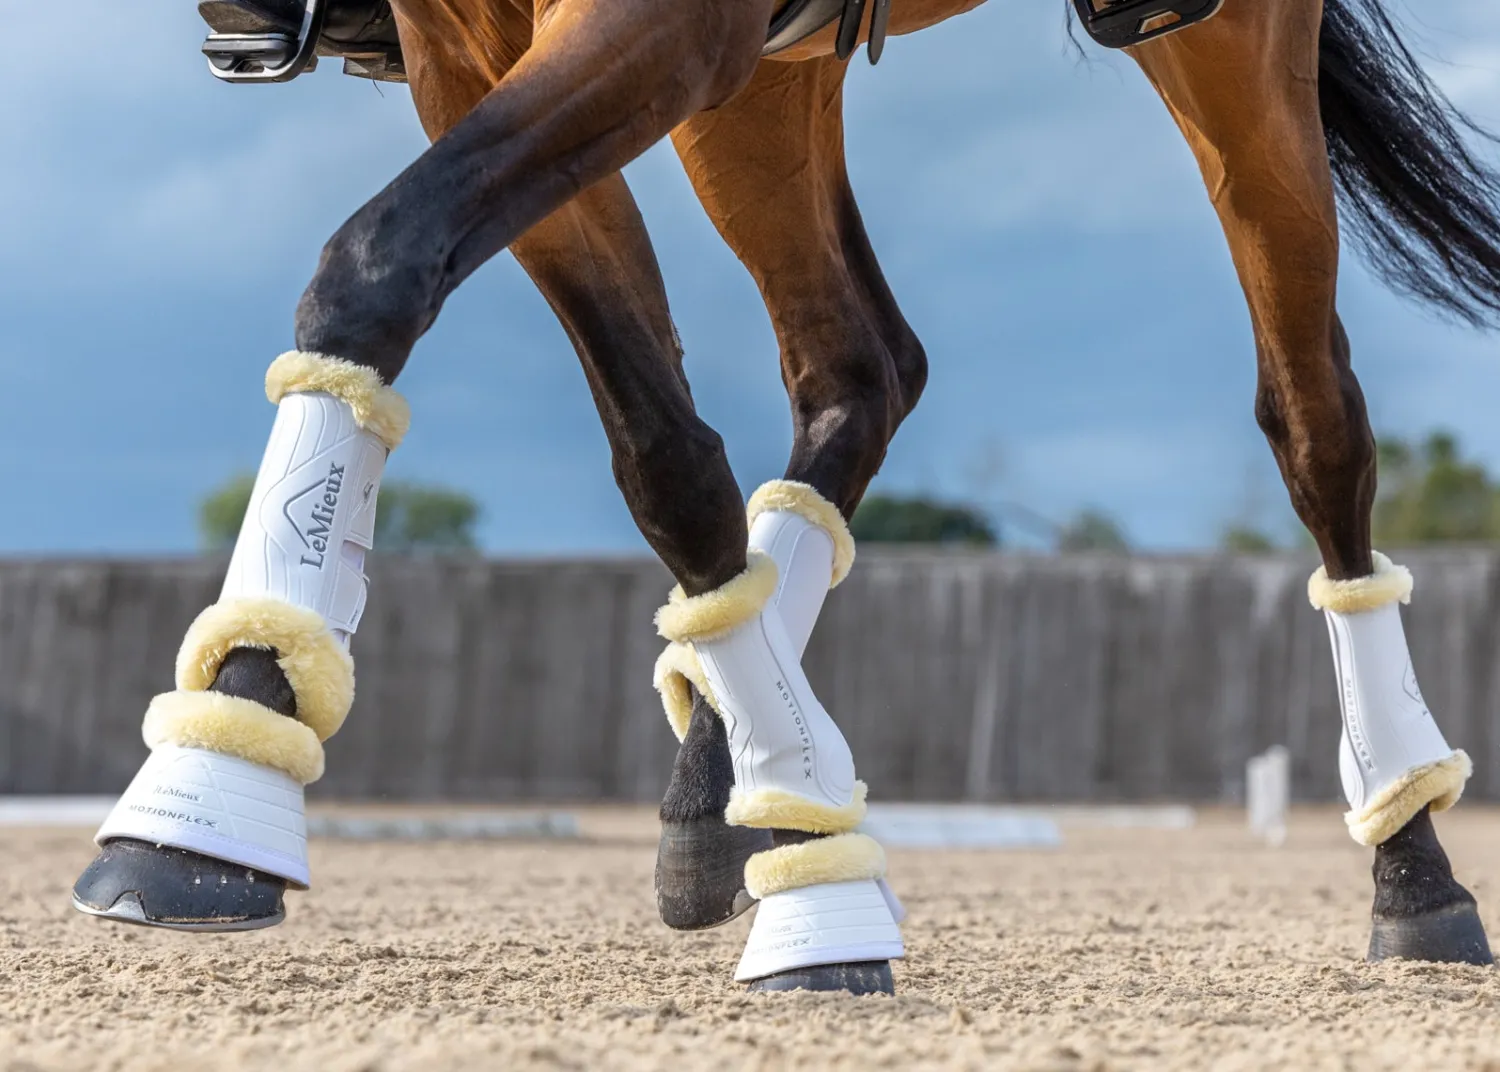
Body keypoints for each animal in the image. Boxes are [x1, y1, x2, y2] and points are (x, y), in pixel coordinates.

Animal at [73, 0, 1500, 994]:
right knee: (859, 366)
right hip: (763, 84)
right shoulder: (465, 50)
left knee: (1316, 420)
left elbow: (380, 260)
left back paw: (1413, 864)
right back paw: (725, 778)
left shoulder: (655, 22)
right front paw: (216, 770)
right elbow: (654, 441)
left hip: (1229, 50)